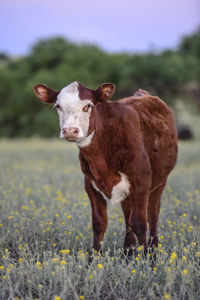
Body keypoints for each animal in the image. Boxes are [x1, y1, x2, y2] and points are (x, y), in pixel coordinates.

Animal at [33, 81, 177, 255]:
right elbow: (99, 224)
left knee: (153, 215)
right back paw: (128, 252)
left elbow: (140, 223)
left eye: (88, 106)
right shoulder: (90, 184)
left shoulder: (142, 181)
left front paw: (146, 258)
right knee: (128, 216)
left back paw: (153, 250)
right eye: (58, 106)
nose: (70, 130)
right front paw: (94, 258)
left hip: (160, 182)